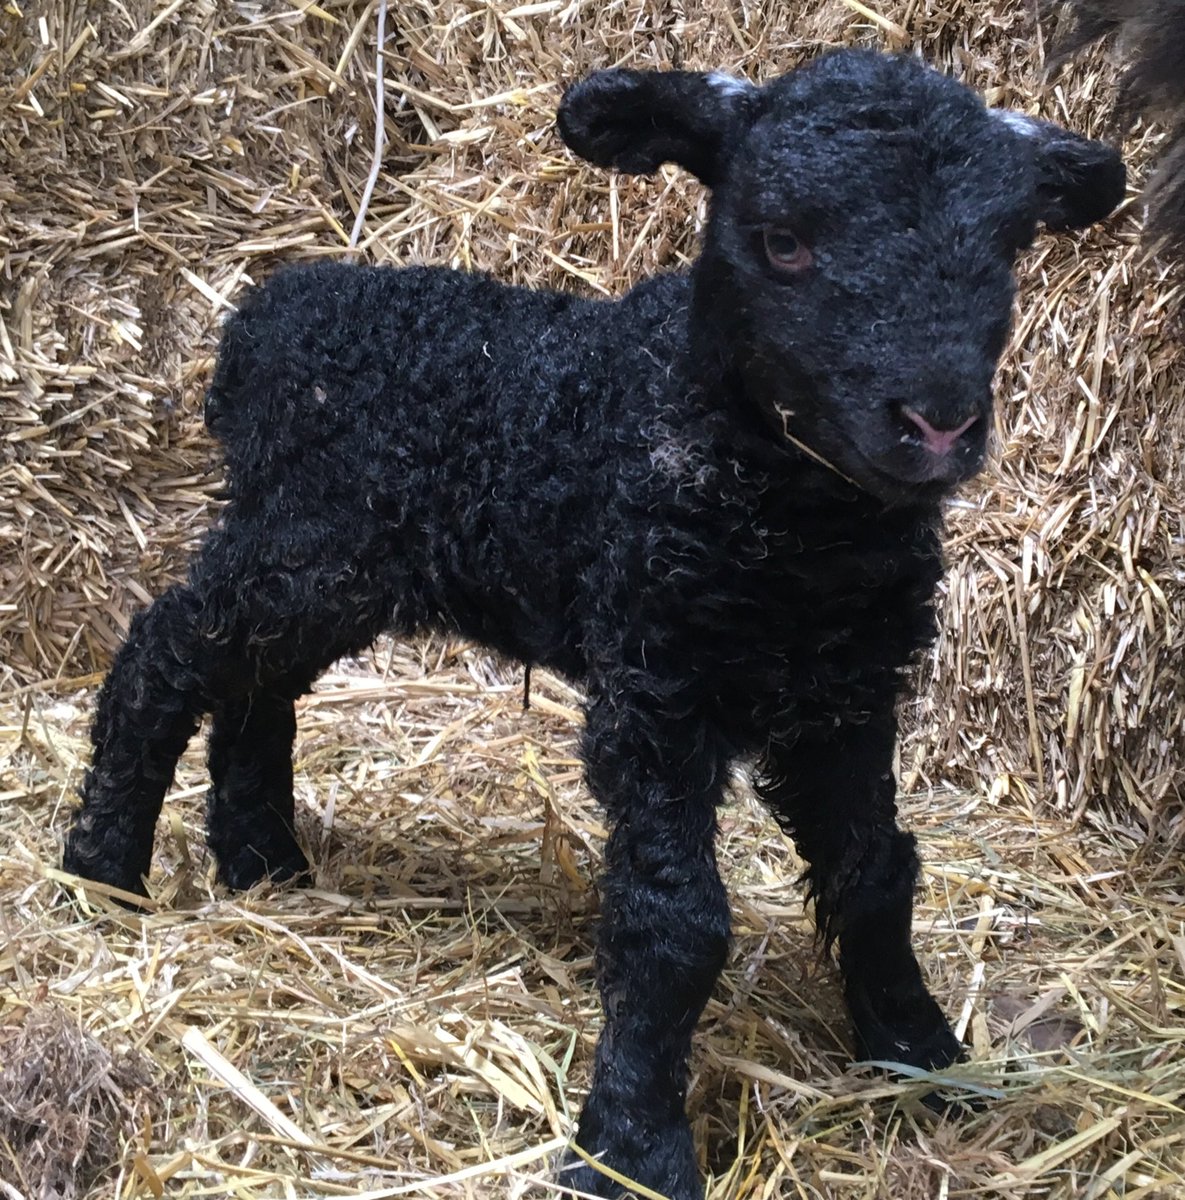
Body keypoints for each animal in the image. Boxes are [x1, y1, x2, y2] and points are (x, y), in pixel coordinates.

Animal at [62, 49, 1123, 1200]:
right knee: (164, 655)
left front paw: (918, 1049)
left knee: (256, 688)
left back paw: (262, 862)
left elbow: (876, 872)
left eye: (1008, 248)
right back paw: (102, 870)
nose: (936, 426)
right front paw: (633, 1147)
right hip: (302, 543)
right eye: (782, 240)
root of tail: (266, 316)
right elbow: (674, 921)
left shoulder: (847, 691)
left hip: (331, 567)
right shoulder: (656, 680)